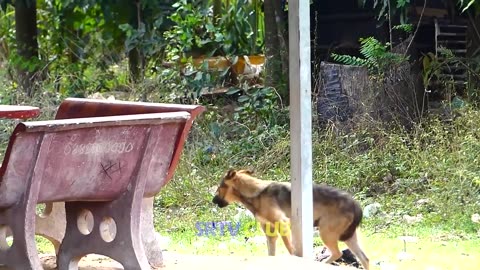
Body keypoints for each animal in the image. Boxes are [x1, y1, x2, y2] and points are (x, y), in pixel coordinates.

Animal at [212, 168, 370, 268]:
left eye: (219, 188)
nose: (213, 201)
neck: (255, 193)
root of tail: (356, 205)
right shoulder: (270, 232)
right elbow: (271, 253)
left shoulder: (282, 223)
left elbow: (290, 249)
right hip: (349, 237)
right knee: (365, 259)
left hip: (326, 232)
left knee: (337, 253)